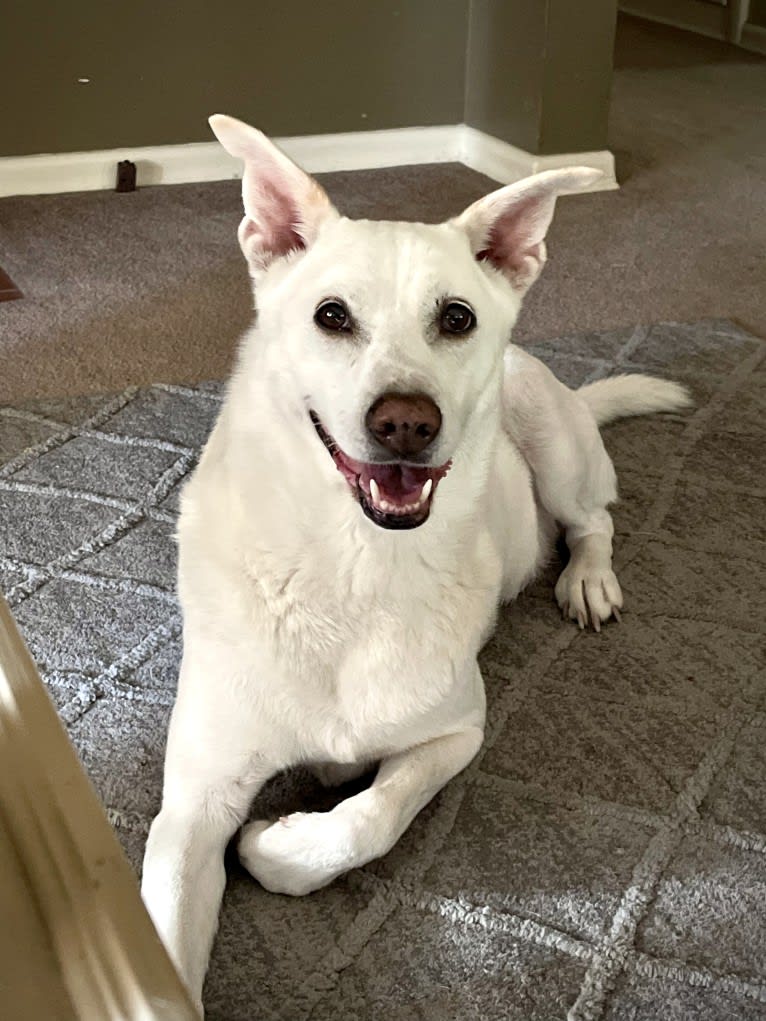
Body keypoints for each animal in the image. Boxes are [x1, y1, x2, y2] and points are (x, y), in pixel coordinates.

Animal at [140, 115, 694, 1008]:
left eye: (456, 317)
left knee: (595, 520)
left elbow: (371, 815)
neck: (354, 565)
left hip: (551, 438)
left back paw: (587, 580)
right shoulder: (193, 802)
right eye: (332, 315)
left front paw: (276, 846)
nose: (406, 421)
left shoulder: (457, 731)